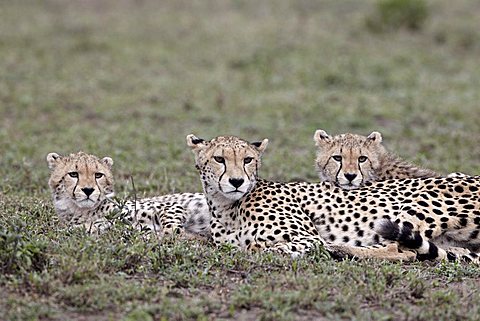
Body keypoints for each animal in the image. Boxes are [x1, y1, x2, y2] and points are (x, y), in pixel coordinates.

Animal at [187, 134, 480, 262]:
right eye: (219, 159)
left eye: (248, 160)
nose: (237, 181)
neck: (228, 208)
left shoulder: (308, 238)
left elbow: (271, 248)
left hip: (414, 206)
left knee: (401, 250)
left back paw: (339, 249)